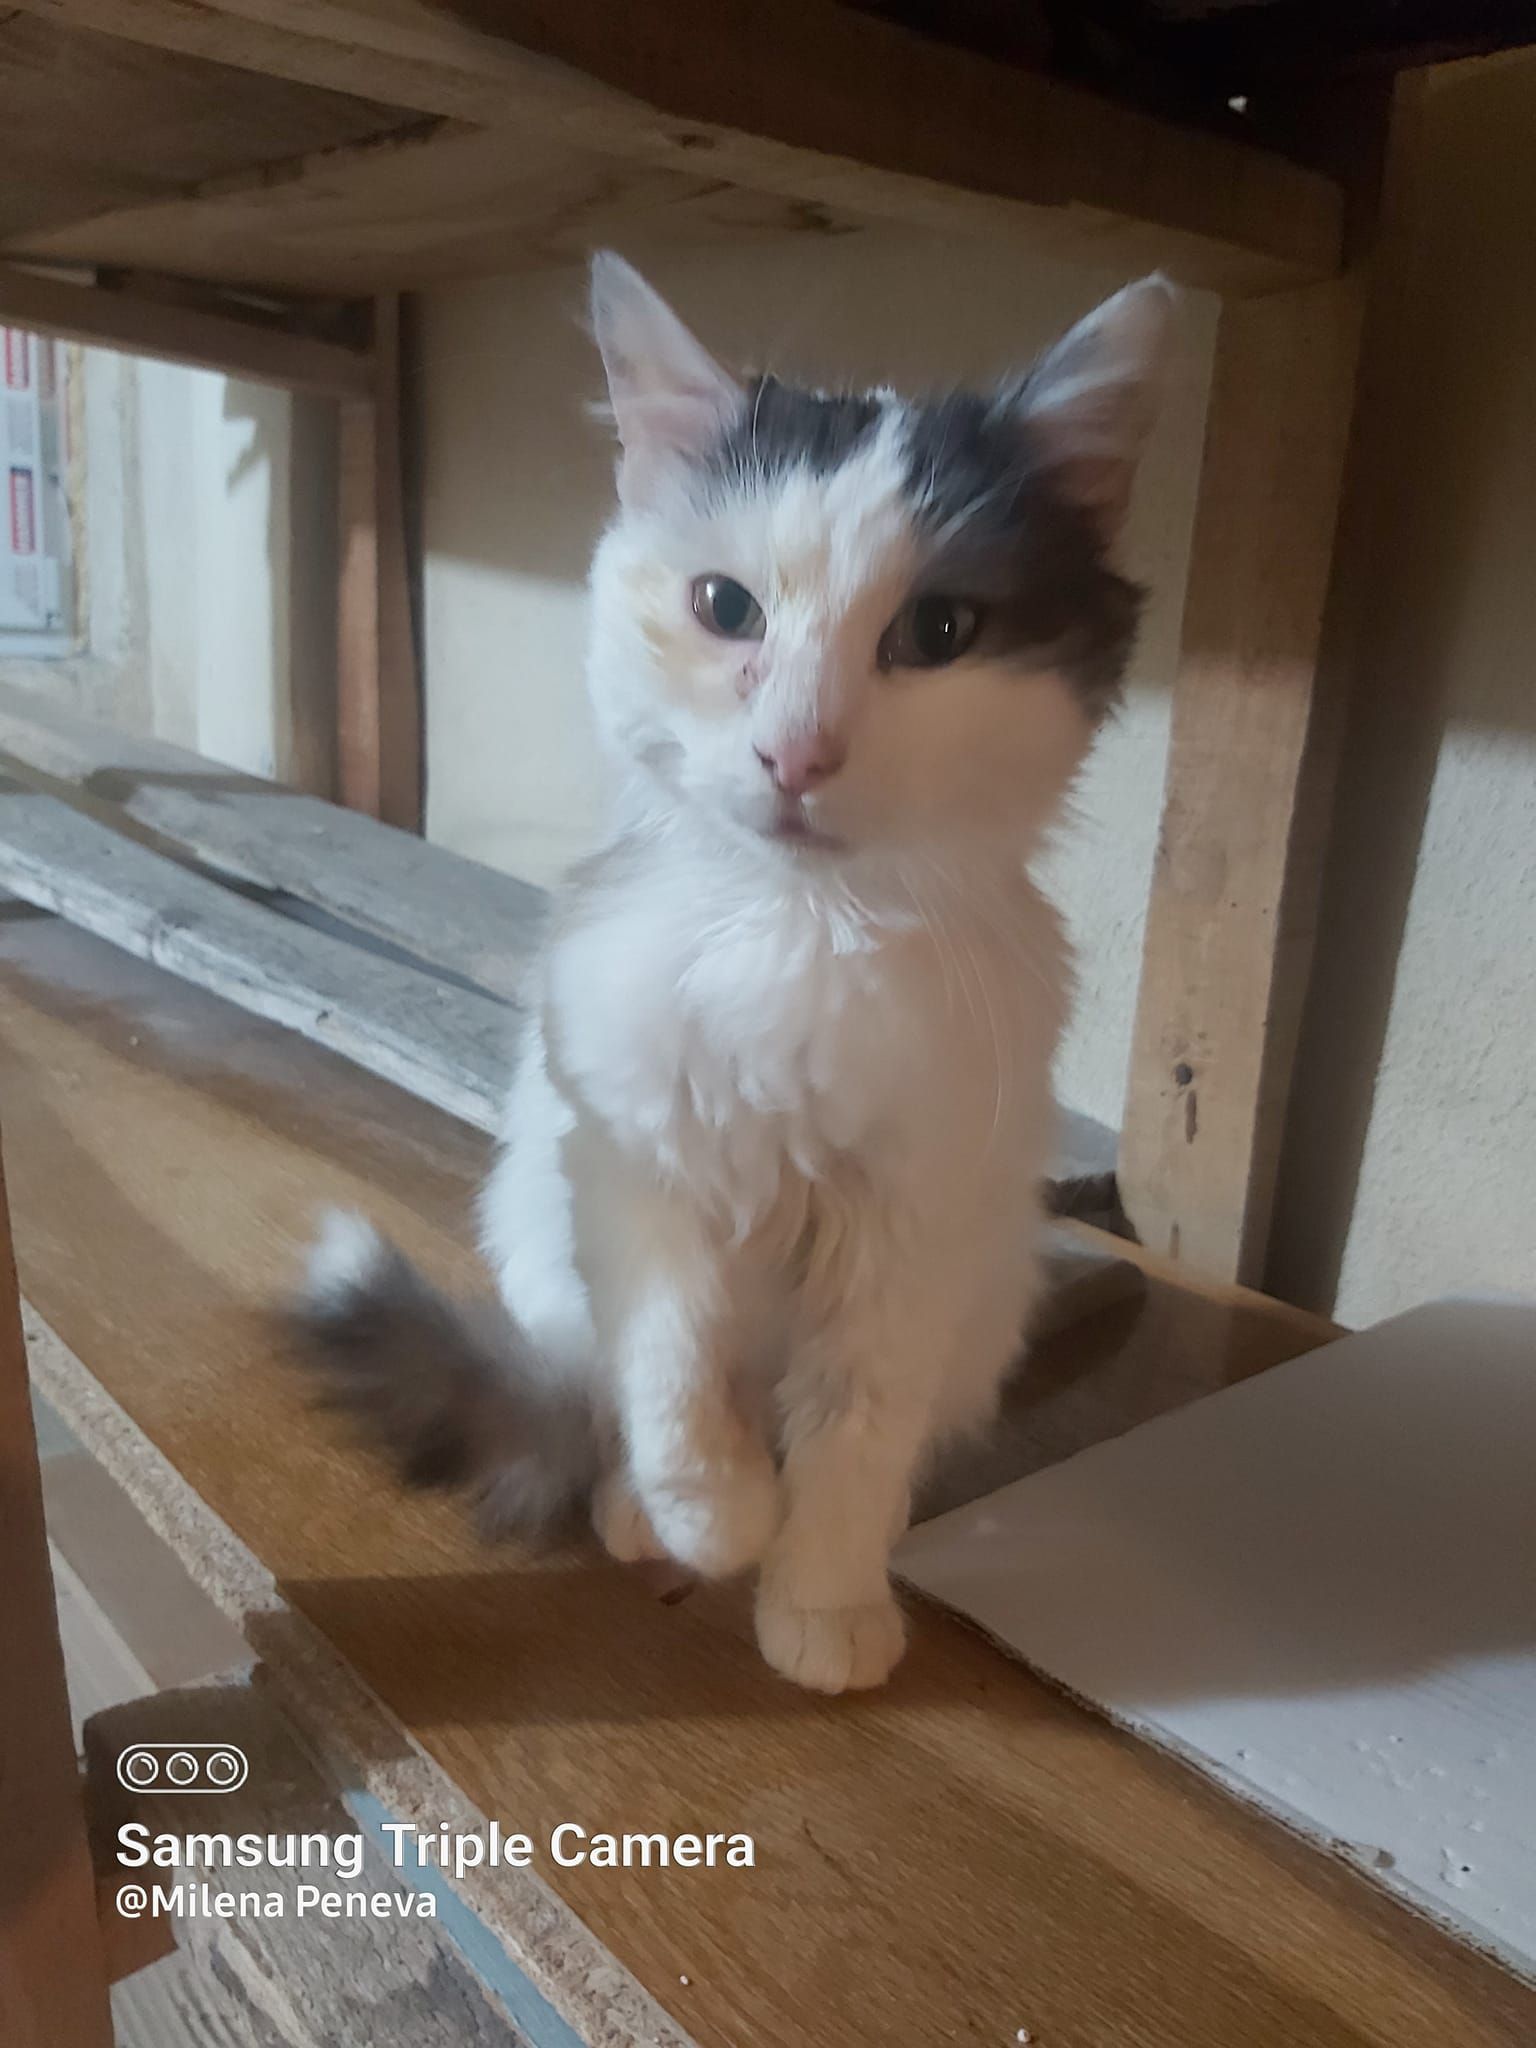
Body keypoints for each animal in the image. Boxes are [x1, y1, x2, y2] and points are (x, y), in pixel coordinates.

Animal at [298, 252, 1174, 1693]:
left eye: (940, 627)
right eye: (726, 609)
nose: (796, 753)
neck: (797, 931)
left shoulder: (910, 1226)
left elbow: (854, 1432)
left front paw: (819, 1595)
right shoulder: (632, 1155)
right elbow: (670, 1360)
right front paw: (714, 1516)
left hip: (984, 1289)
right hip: (538, 1229)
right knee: (603, 1393)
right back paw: (636, 1510)